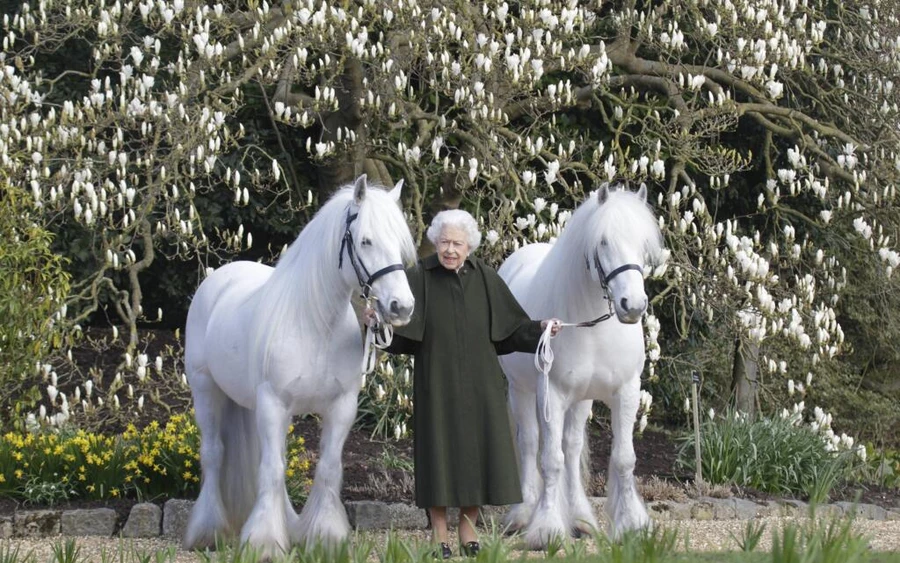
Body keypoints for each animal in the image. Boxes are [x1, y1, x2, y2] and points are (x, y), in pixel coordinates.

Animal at [186, 176, 418, 560]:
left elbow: (326, 468)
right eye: (366, 240)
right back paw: (208, 531)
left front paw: (325, 537)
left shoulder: (341, 407)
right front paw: (264, 543)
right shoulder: (273, 403)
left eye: (400, 244)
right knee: (214, 455)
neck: (314, 324)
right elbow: (271, 470)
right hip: (206, 391)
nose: (402, 307)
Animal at [496, 186, 664, 552]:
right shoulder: (553, 394)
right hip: (522, 391)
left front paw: (631, 525)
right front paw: (546, 529)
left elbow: (623, 458)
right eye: (603, 242)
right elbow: (550, 459)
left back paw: (581, 519)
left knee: (572, 448)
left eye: (643, 243)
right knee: (530, 443)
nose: (633, 306)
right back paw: (522, 514)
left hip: (581, 400)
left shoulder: (626, 391)